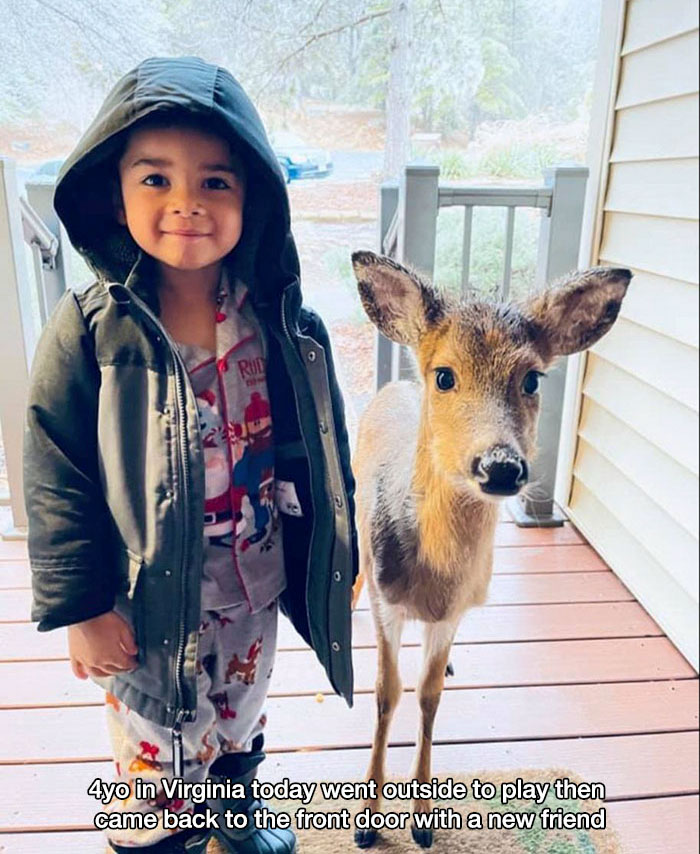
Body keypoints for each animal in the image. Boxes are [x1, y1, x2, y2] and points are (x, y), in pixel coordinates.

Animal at [352, 249, 632, 848]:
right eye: (444, 375)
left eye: (531, 377)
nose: (501, 466)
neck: (432, 580)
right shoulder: (387, 600)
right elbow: (386, 693)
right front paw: (366, 818)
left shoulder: (455, 610)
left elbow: (428, 695)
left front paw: (423, 818)